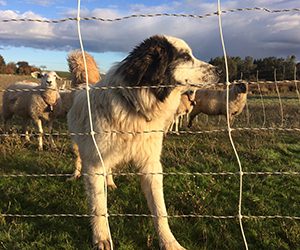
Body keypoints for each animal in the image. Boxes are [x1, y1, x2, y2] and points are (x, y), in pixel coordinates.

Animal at [67, 34, 218, 249]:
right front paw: (102, 238)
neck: (135, 107)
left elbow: (159, 210)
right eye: (185, 57)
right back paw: (75, 175)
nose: (219, 70)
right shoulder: (95, 164)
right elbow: (99, 206)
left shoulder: (151, 165)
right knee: (79, 160)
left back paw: (110, 183)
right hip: (79, 147)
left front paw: (169, 242)